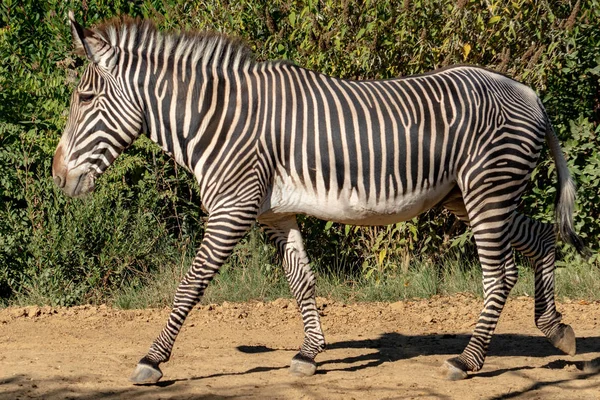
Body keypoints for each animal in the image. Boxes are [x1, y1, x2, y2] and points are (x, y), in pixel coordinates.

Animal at [51, 11, 584, 382]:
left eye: (84, 99)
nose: (57, 178)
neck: (221, 120)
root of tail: (527, 91)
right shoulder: (274, 212)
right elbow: (301, 281)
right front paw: (310, 353)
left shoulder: (233, 208)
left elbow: (191, 284)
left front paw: (152, 360)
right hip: (470, 194)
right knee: (540, 238)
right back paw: (557, 331)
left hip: (487, 189)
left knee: (501, 274)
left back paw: (468, 361)